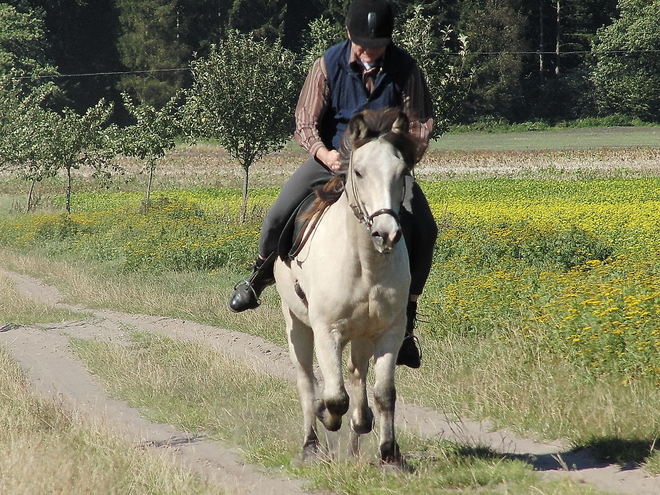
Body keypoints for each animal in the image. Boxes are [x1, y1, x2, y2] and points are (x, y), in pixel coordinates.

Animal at [272, 108, 418, 468]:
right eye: (359, 172)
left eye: (401, 172)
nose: (386, 234)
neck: (365, 265)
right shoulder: (327, 331)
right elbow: (334, 397)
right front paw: (327, 416)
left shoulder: (389, 332)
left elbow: (384, 394)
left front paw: (389, 453)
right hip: (296, 323)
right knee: (307, 381)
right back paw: (311, 444)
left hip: (363, 334)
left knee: (357, 374)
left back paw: (357, 435)